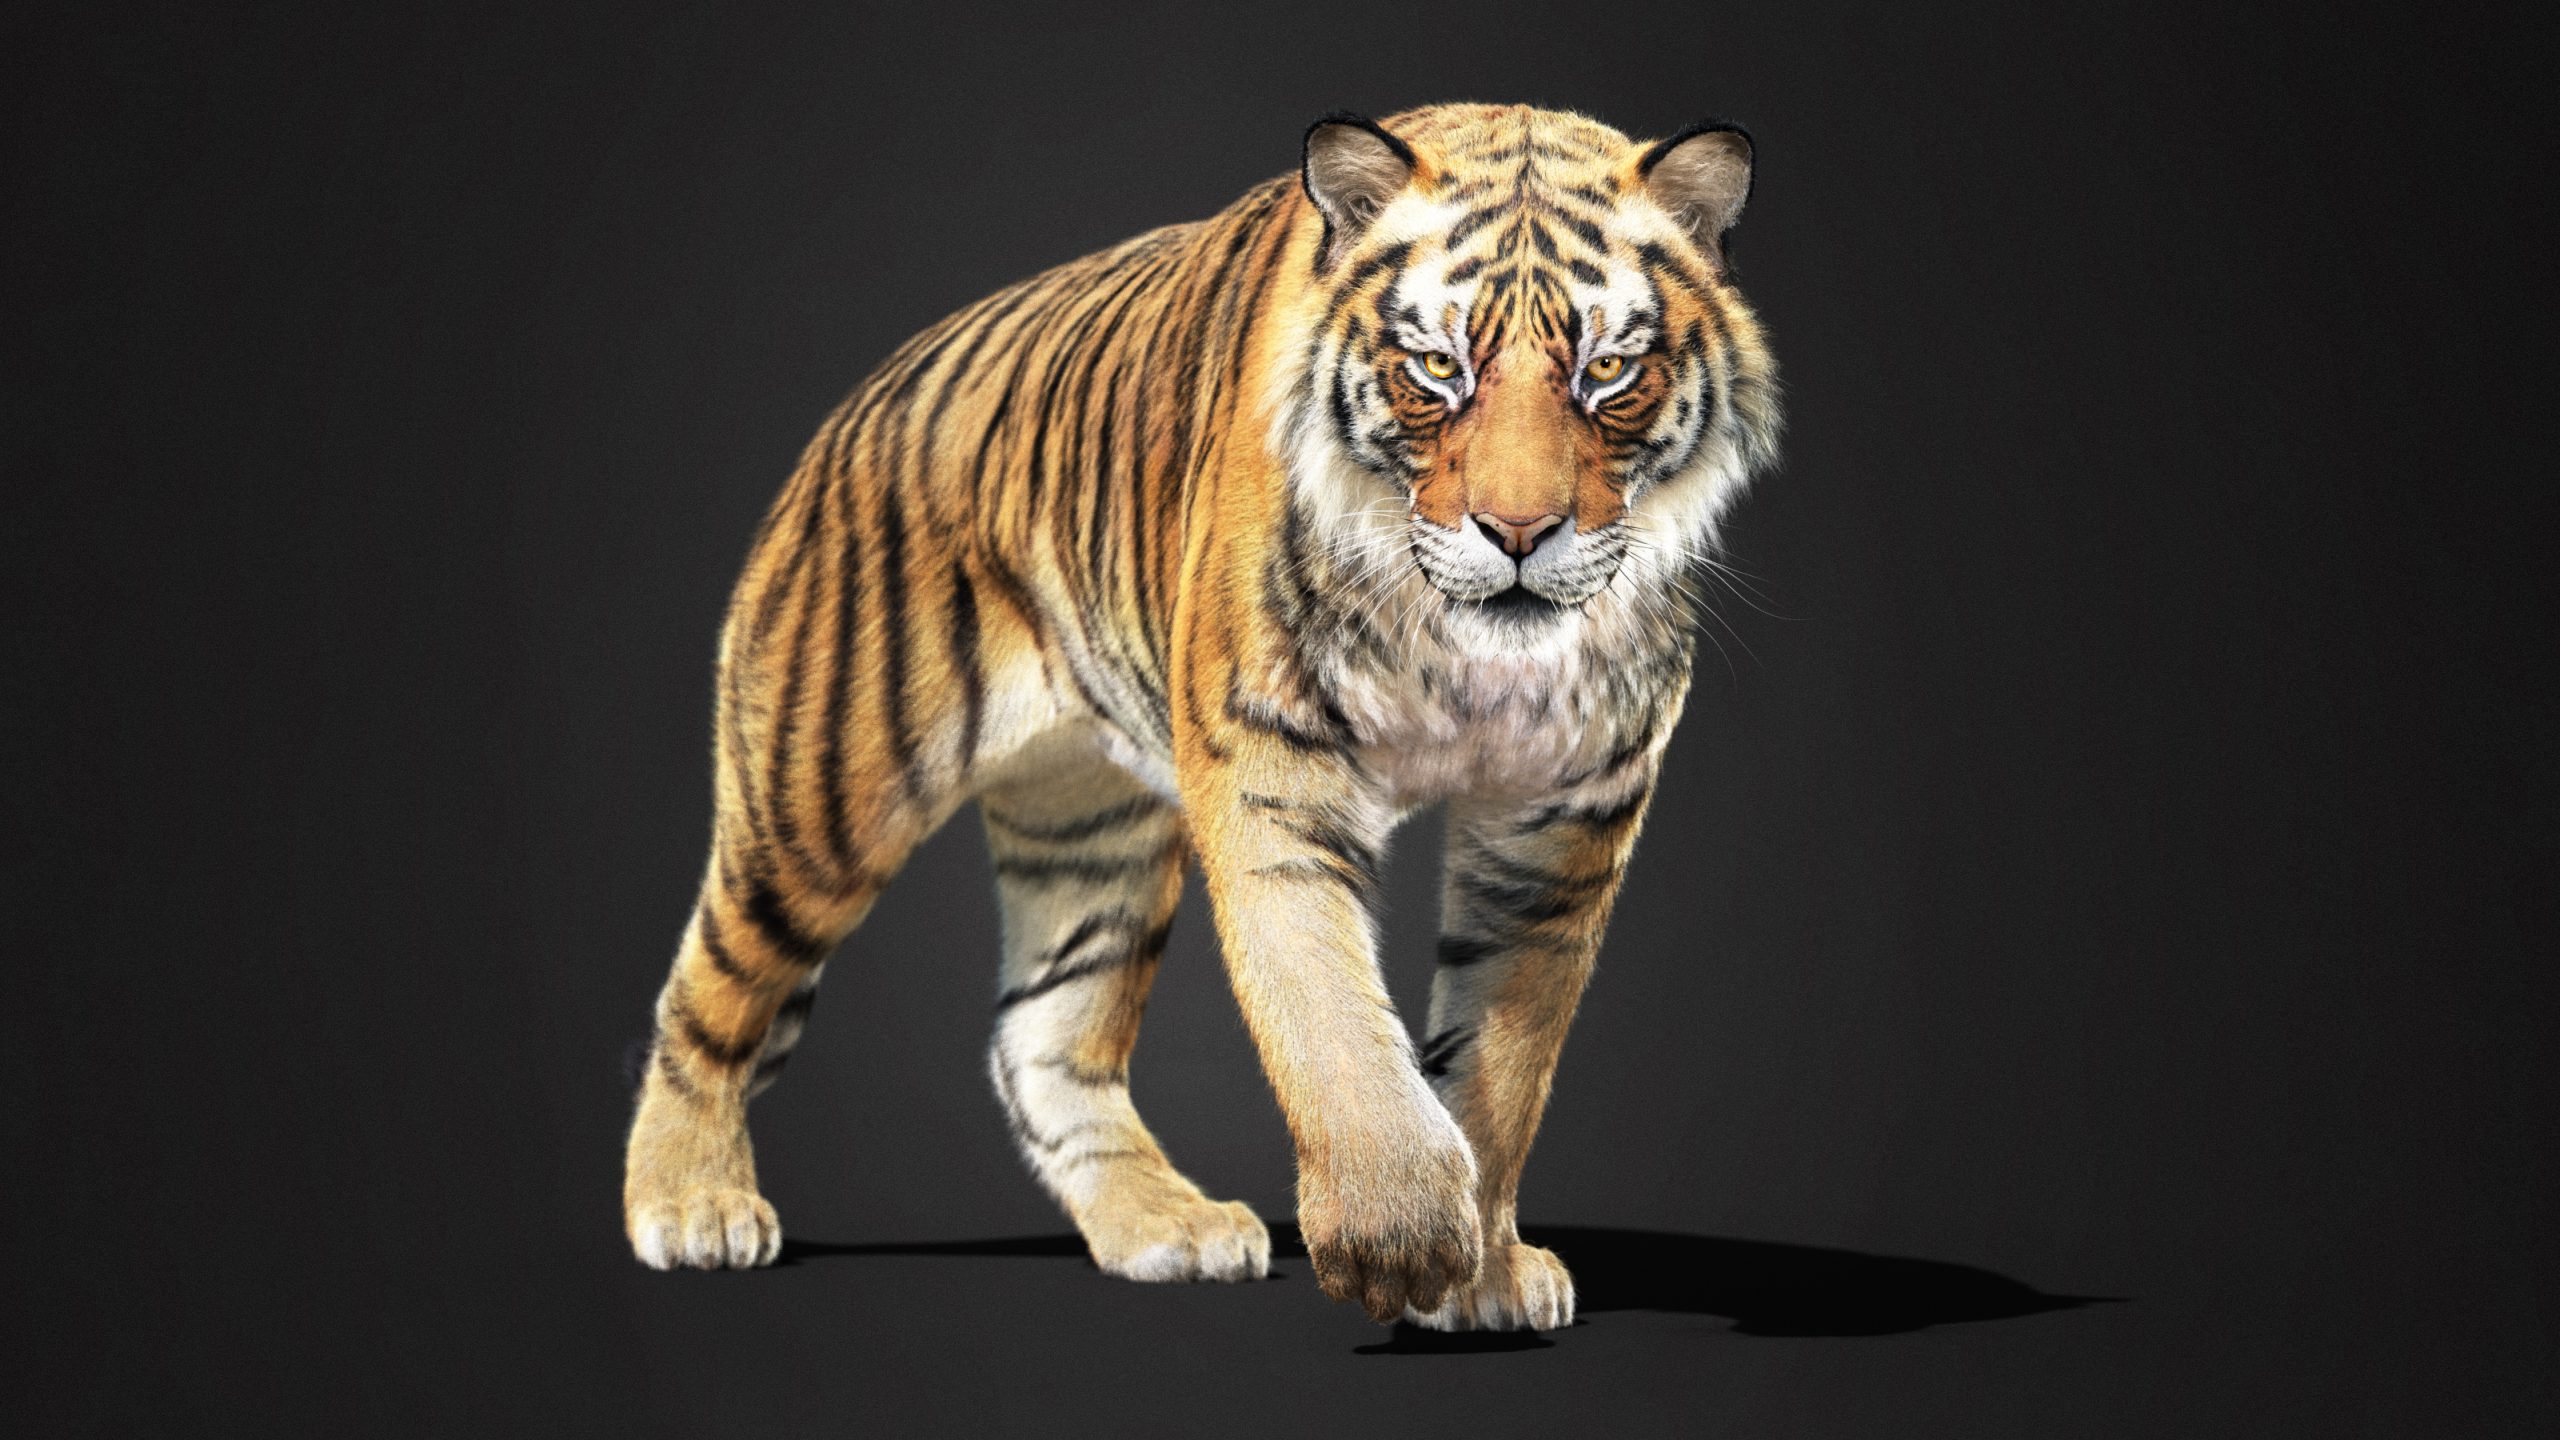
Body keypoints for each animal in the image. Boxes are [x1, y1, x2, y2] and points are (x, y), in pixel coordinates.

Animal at [622, 101, 1780, 1332]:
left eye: (1608, 371)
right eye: (1437, 366)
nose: (1518, 532)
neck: (1471, 659)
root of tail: (860, 403)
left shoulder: (1564, 822)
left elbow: (1505, 1065)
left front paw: (1487, 1270)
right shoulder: (1273, 763)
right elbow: (1327, 1013)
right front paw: (1400, 1236)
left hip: (1094, 832)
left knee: (1042, 1041)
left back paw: (1160, 1226)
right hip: (825, 800)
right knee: (707, 991)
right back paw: (690, 1204)